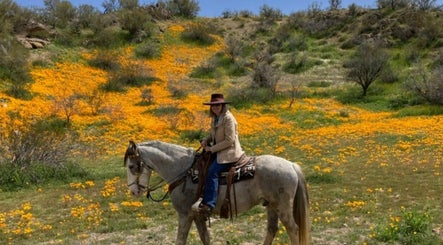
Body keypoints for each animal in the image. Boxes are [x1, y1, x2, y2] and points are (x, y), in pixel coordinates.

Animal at [124, 141, 312, 244]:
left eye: (132, 166)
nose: (133, 191)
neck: (183, 171)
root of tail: (291, 165)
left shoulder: (185, 214)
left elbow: (180, 240)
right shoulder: (197, 215)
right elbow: (205, 238)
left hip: (282, 206)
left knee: (293, 229)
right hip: (271, 205)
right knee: (272, 229)